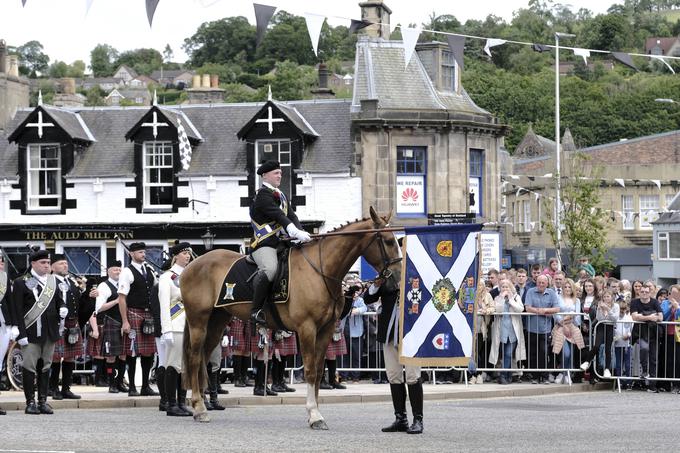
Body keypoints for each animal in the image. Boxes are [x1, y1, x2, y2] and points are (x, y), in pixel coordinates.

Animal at [181, 207, 404, 428]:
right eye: (389, 241)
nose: (398, 278)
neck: (320, 270)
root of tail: (193, 264)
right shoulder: (307, 329)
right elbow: (310, 371)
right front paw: (314, 414)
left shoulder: (325, 330)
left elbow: (318, 370)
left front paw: (315, 412)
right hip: (198, 321)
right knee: (194, 358)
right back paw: (199, 407)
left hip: (217, 321)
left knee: (203, 358)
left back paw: (202, 404)